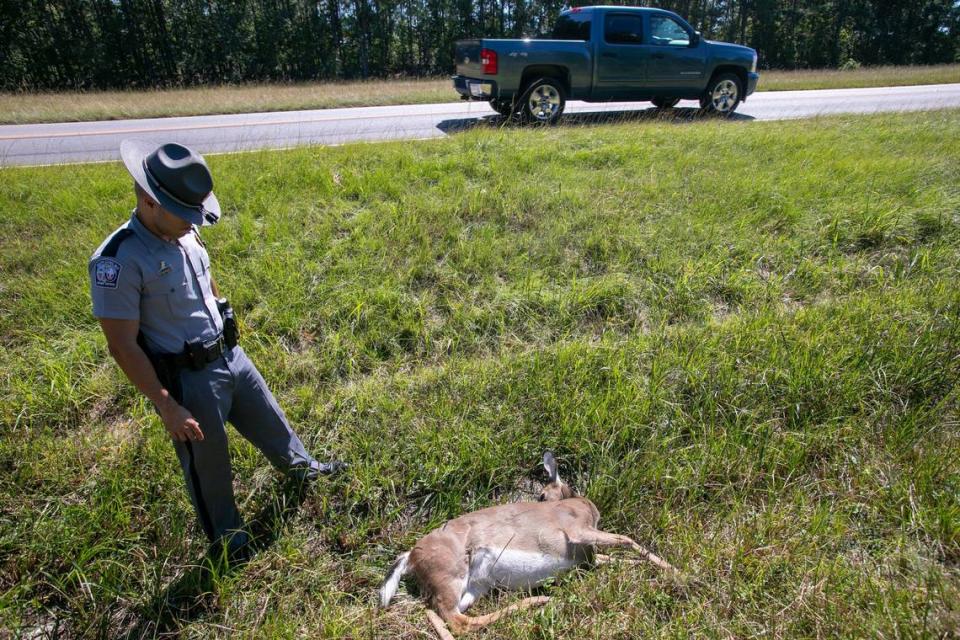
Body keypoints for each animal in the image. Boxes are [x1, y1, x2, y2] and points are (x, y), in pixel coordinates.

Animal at [378, 452, 680, 636]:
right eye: (542, 495)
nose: (542, 498)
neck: (575, 506)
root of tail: (411, 554)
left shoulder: (587, 557)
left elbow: (621, 558)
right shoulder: (578, 531)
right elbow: (628, 541)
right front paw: (678, 572)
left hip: (474, 585)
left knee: (442, 614)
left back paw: (539, 600)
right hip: (453, 576)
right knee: (453, 620)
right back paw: (541, 600)